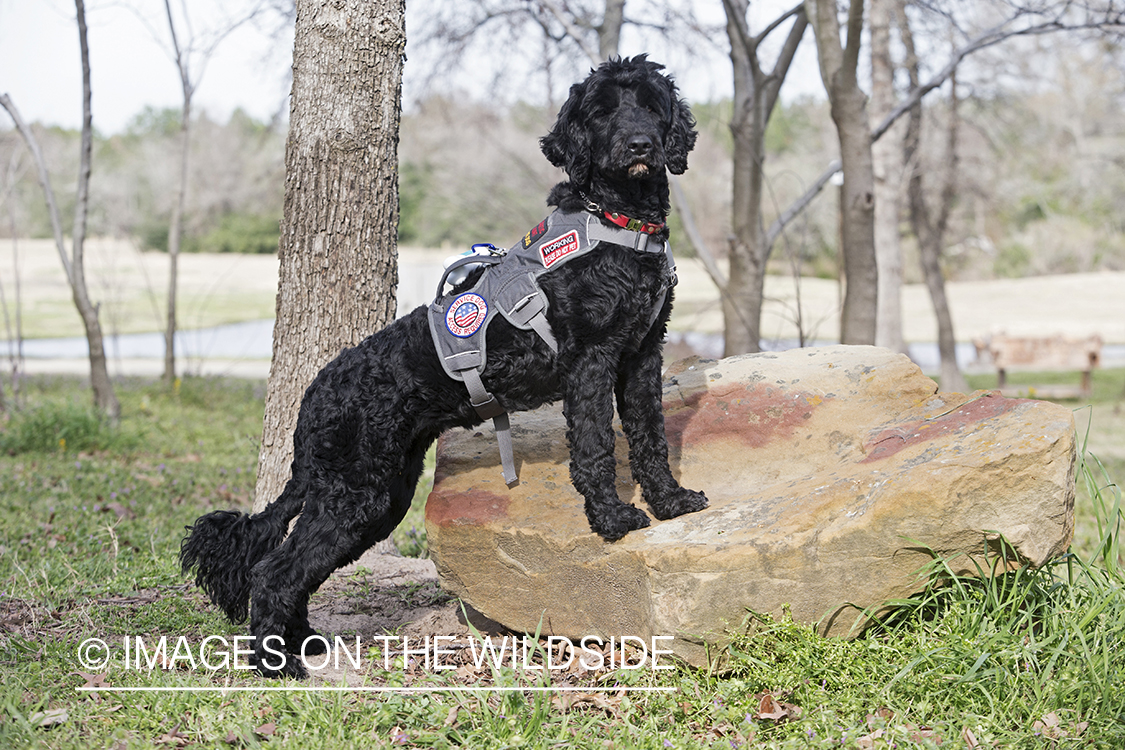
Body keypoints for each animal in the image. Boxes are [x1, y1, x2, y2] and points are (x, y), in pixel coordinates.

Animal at [183, 55, 706, 679]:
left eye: (650, 104)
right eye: (602, 111)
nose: (639, 144)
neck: (620, 222)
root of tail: (313, 401)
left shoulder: (643, 354)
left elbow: (650, 436)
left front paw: (671, 502)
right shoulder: (593, 362)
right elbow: (598, 448)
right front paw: (611, 520)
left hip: (377, 499)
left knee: (296, 569)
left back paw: (302, 643)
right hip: (354, 495)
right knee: (274, 571)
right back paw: (275, 664)